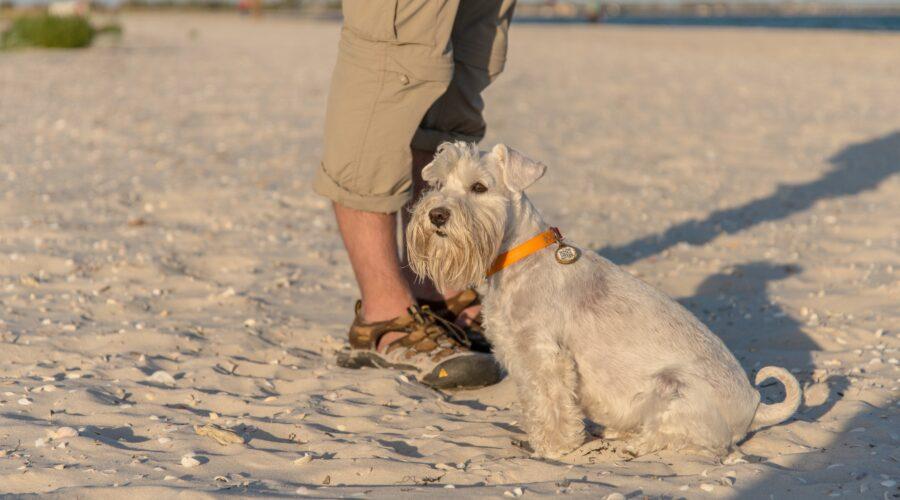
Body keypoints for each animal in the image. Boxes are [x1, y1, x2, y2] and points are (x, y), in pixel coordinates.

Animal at [408, 141, 800, 458]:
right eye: (438, 184)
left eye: (479, 187)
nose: (436, 214)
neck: (517, 256)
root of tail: (754, 404)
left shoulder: (545, 356)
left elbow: (550, 403)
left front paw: (553, 447)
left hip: (674, 389)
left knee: (689, 440)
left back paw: (634, 444)